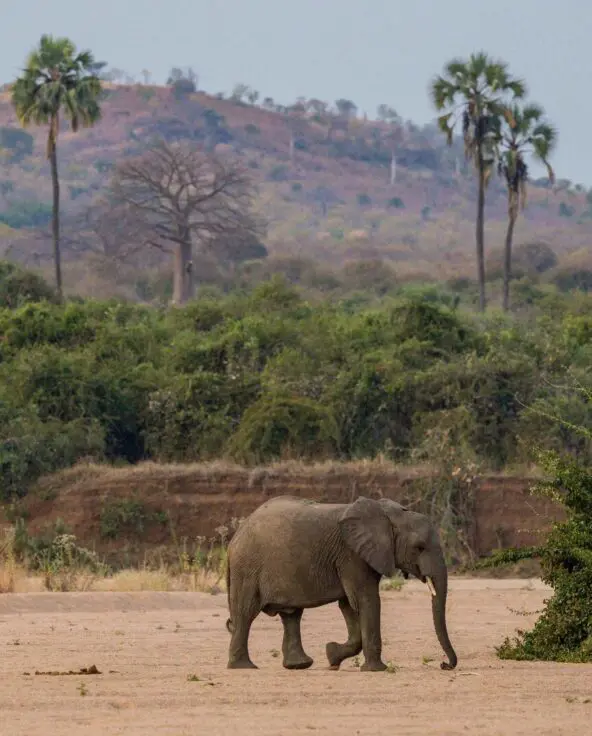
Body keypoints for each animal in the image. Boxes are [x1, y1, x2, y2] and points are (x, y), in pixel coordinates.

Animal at [225, 494, 457, 672]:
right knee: (245, 613)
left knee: (291, 615)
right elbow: (366, 600)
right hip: (247, 568)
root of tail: (235, 537)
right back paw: (244, 667)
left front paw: (332, 656)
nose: (444, 665)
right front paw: (376, 670)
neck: (387, 514)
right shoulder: (351, 555)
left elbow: (349, 605)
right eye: (419, 547)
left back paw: (299, 665)